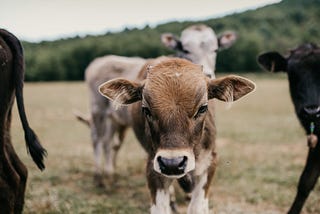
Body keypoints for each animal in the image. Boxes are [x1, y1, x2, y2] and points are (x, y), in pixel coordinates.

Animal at [78, 23, 236, 186]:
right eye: (185, 50)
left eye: (215, 49)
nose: (208, 75)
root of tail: (99, 60)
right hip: (97, 110)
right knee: (97, 139)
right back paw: (98, 177)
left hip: (114, 119)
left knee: (108, 142)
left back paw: (110, 174)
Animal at [99, 57, 254, 213]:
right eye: (146, 110)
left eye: (202, 108)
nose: (172, 163)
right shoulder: (153, 168)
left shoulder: (210, 162)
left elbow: (197, 207)